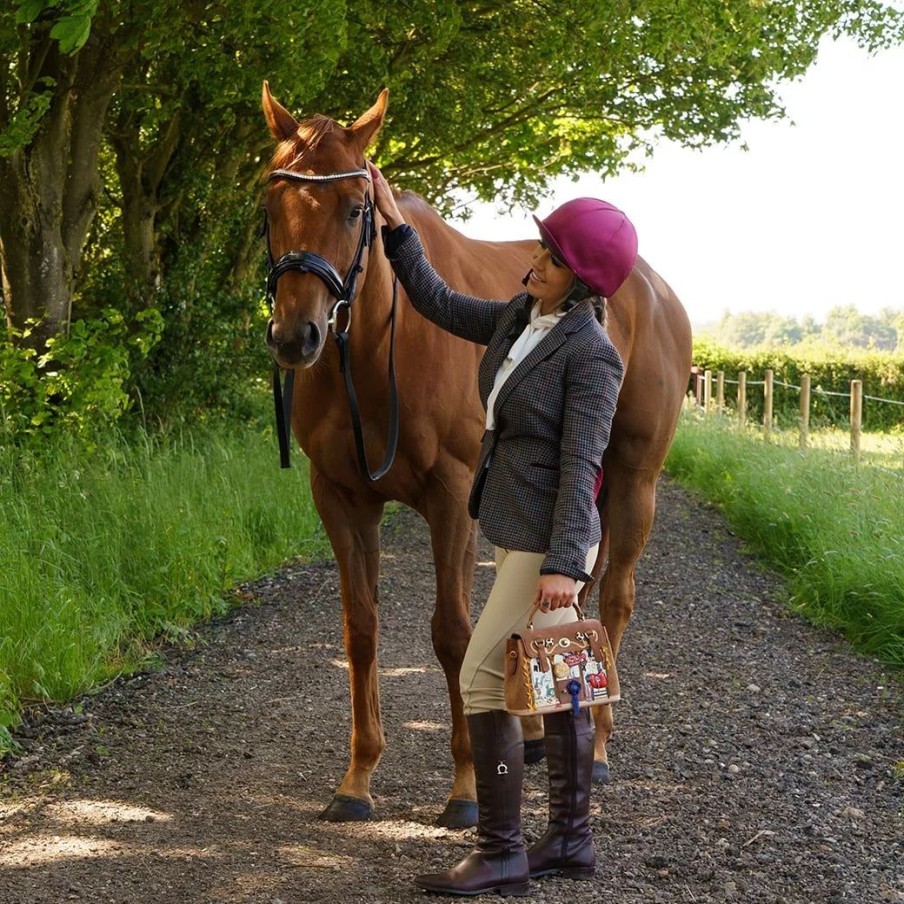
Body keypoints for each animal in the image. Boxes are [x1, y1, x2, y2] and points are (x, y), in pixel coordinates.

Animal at [260, 86, 692, 828]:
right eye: (269, 204)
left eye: (354, 209)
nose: (296, 335)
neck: (382, 350)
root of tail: (656, 289)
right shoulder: (342, 498)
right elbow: (361, 631)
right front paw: (358, 778)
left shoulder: (451, 497)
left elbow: (453, 634)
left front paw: (465, 787)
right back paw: (540, 732)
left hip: (634, 484)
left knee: (611, 603)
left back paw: (600, 746)